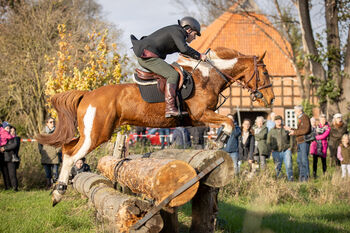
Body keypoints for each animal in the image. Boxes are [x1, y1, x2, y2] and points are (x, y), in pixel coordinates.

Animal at [36, 47, 276, 206]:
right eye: (265, 73)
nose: (271, 99)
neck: (208, 77)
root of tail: (87, 95)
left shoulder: (198, 119)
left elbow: (227, 122)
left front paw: (215, 142)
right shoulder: (202, 114)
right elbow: (230, 122)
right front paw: (218, 143)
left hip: (89, 133)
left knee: (67, 148)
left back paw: (58, 190)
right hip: (97, 134)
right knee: (72, 155)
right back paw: (58, 192)